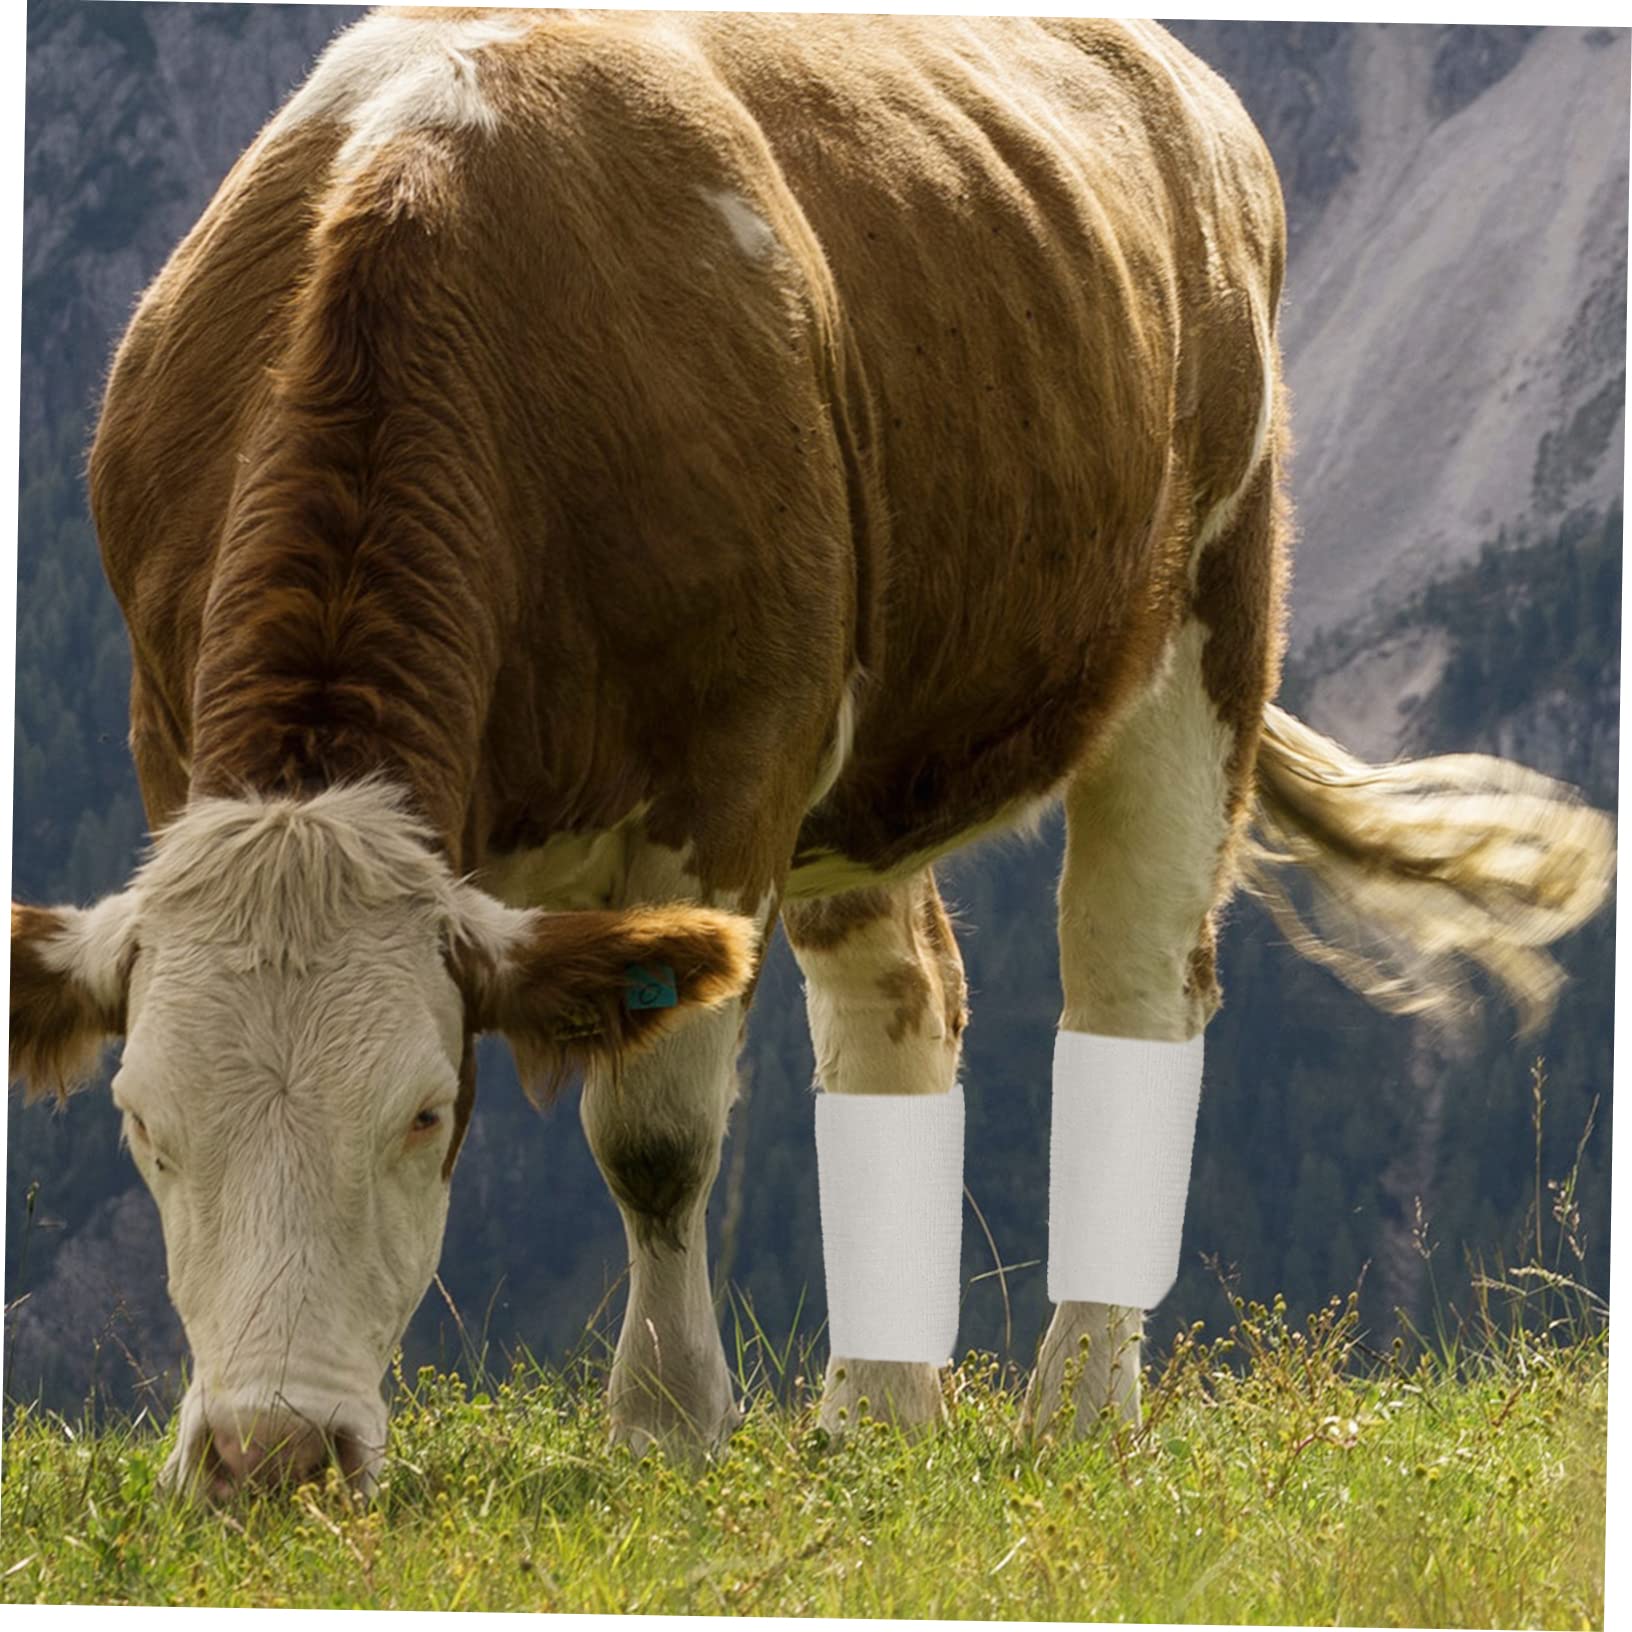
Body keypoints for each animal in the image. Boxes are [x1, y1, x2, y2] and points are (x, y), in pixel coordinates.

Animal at [9, 9, 1613, 1499]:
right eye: (143, 1125)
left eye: (424, 1114)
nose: (269, 1459)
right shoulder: (167, 735)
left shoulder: (728, 771)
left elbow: (655, 1136)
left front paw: (666, 1422)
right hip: (874, 771)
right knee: (904, 1006)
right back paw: (882, 1407)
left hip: (1204, 617)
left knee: (1136, 991)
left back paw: (1079, 1405)